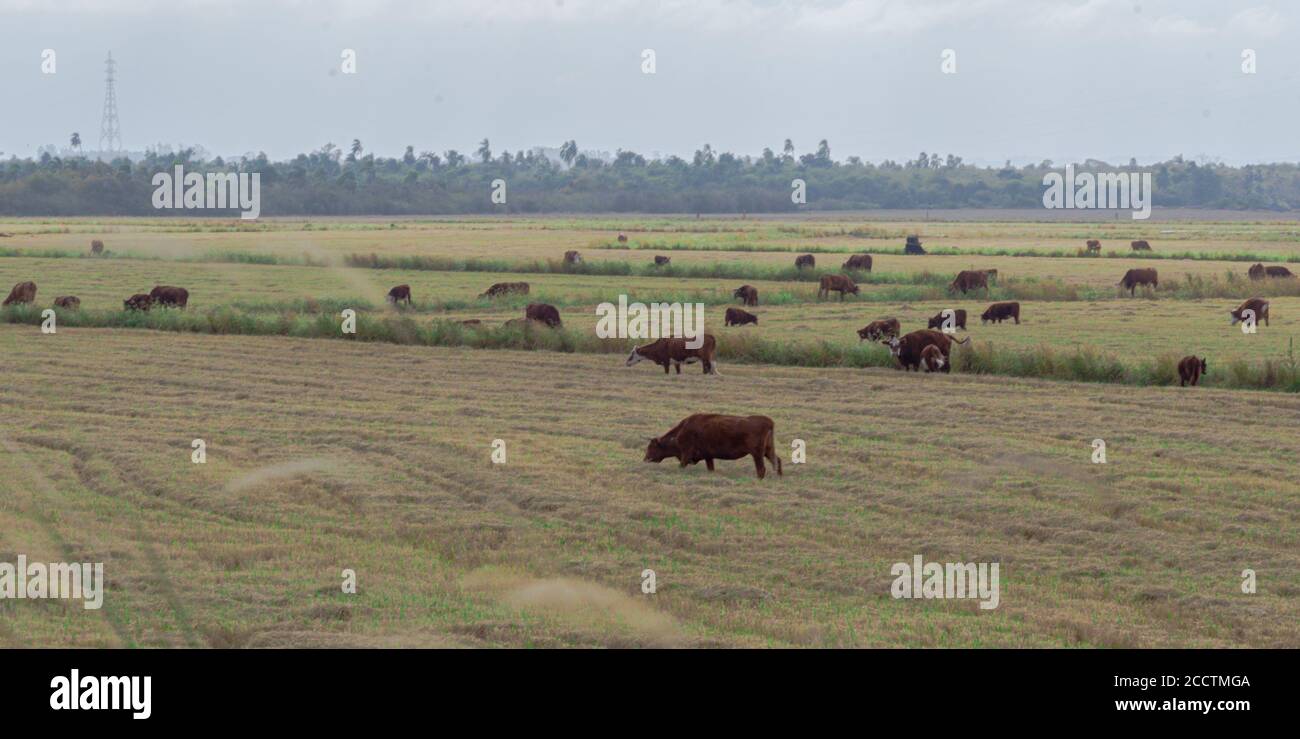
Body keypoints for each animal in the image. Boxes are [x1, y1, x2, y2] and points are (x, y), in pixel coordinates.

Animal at [642, 411, 780, 478]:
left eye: (652, 447)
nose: (645, 459)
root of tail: (769, 422)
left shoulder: (686, 454)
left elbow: (681, 465)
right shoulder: (708, 456)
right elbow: (711, 468)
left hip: (757, 454)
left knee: (761, 468)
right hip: (768, 451)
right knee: (777, 460)